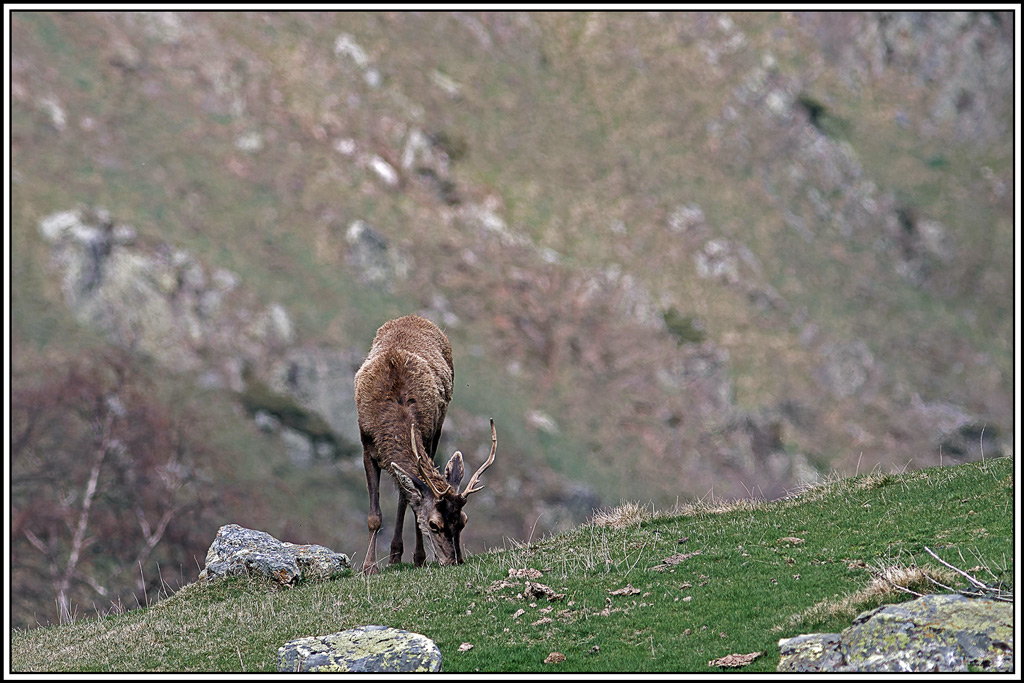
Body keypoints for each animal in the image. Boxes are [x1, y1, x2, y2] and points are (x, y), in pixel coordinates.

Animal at [354, 314, 497, 574]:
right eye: (434, 524)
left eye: (463, 521)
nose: (455, 560)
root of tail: (415, 317)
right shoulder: (366, 446)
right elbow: (374, 515)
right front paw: (369, 567)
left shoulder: (428, 436)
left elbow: (411, 503)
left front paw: (418, 557)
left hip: (439, 428)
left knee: (405, 497)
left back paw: (400, 555)